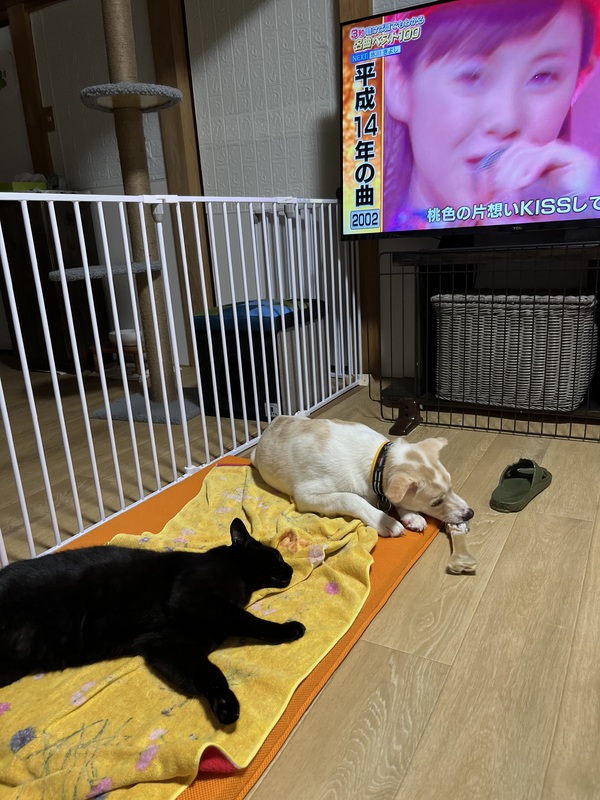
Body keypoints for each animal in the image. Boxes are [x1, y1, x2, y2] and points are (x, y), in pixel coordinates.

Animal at [0, 518, 305, 725]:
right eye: (276, 554)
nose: (291, 569)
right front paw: (288, 629)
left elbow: (210, 673)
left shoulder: (169, 646)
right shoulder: (194, 599)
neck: (239, 577)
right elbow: (248, 621)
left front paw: (224, 705)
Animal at [251, 416, 474, 537]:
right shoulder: (306, 494)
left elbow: (396, 498)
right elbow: (351, 498)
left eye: (452, 487)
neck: (379, 462)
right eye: (436, 503)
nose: (470, 514)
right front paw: (385, 521)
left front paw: (412, 516)